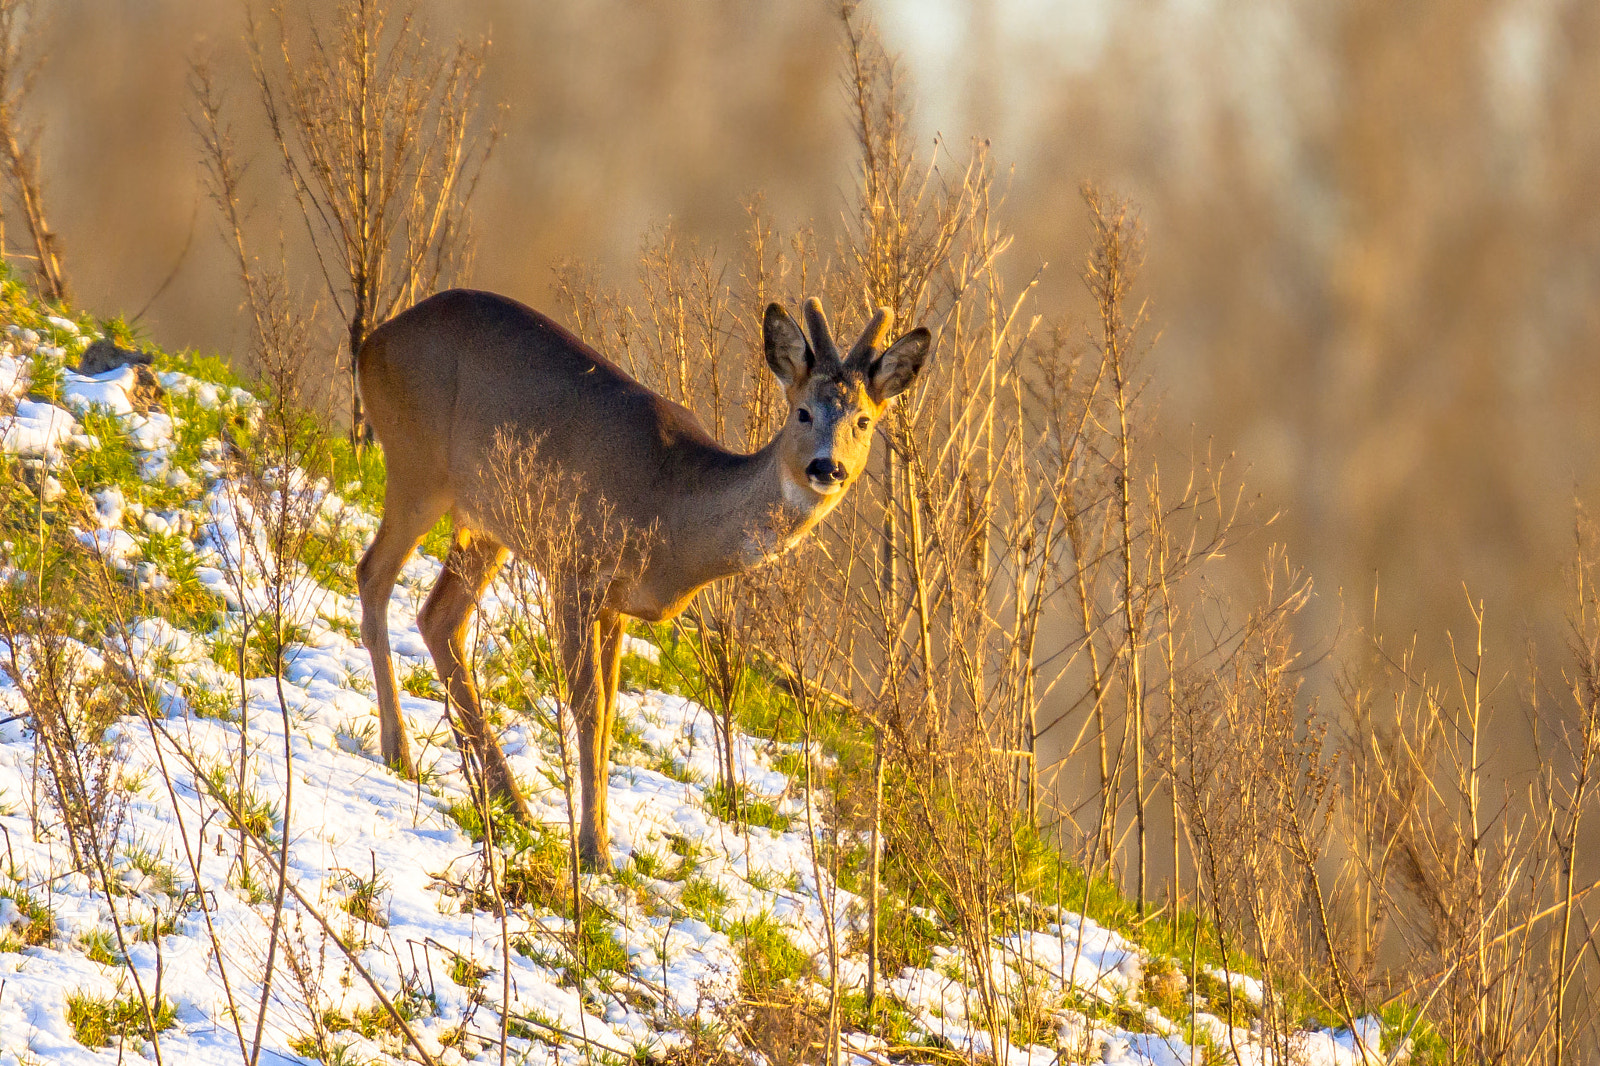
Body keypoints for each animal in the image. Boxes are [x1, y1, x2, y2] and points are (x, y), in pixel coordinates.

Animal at [350, 288, 928, 864]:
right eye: (803, 412)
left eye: (863, 421)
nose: (827, 469)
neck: (674, 510)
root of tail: (372, 342)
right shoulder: (576, 570)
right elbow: (587, 706)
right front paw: (593, 850)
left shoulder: (617, 604)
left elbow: (607, 715)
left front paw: (599, 838)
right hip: (418, 467)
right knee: (373, 574)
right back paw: (400, 753)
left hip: (487, 521)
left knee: (438, 618)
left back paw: (507, 798)